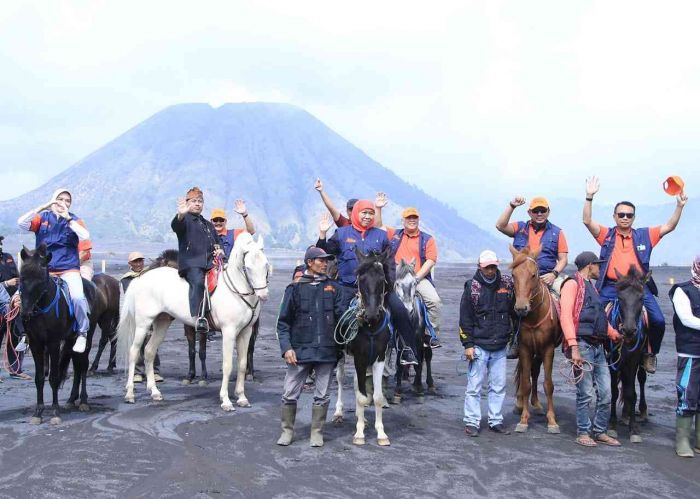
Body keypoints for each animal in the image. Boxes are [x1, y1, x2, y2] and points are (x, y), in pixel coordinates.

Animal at [116, 232, 270, 412]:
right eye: (248, 268)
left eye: (266, 265)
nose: (263, 295)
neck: (236, 290)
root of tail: (140, 278)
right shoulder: (229, 332)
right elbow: (227, 365)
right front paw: (225, 400)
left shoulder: (245, 332)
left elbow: (242, 364)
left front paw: (241, 397)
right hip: (143, 324)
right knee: (134, 352)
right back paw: (130, 394)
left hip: (162, 323)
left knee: (149, 351)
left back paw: (154, 392)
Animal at [330, 248, 392, 448]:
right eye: (361, 280)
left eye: (381, 280)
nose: (371, 314)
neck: (371, 327)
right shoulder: (359, 357)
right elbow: (362, 396)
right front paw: (359, 433)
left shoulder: (379, 358)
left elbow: (376, 397)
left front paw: (381, 433)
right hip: (341, 353)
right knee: (341, 379)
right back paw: (339, 413)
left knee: (358, 383)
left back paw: (361, 417)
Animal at [392, 260, 434, 404]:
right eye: (397, 283)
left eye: (415, 283)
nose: (407, 309)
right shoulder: (399, 339)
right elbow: (399, 363)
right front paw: (397, 392)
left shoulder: (419, 339)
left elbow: (419, 362)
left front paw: (419, 389)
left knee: (427, 357)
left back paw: (429, 384)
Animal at [508, 246, 564, 434]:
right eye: (513, 275)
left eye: (533, 275)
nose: (521, 308)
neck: (533, 317)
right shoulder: (524, 348)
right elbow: (525, 382)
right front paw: (523, 420)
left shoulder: (547, 349)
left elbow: (548, 384)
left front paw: (552, 421)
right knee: (527, 373)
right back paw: (520, 404)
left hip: (539, 351)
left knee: (535, 371)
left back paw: (537, 403)